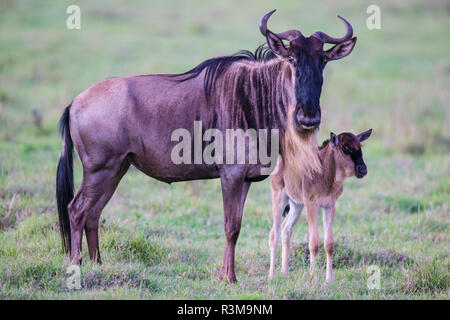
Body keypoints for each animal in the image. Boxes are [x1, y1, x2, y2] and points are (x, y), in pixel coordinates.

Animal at [268, 129, 370, 282]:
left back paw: (284, 273)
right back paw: (272, 275)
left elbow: (329, 244)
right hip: (279, 197)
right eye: (345, 147)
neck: (324, 173)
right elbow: (314, 243)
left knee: (286, 229)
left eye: (360, 146)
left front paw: (329, 279)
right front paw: (313, 278)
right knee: (274, 234)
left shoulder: (329, 206)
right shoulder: (312, 205)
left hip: (297, 205)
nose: (363, 169)